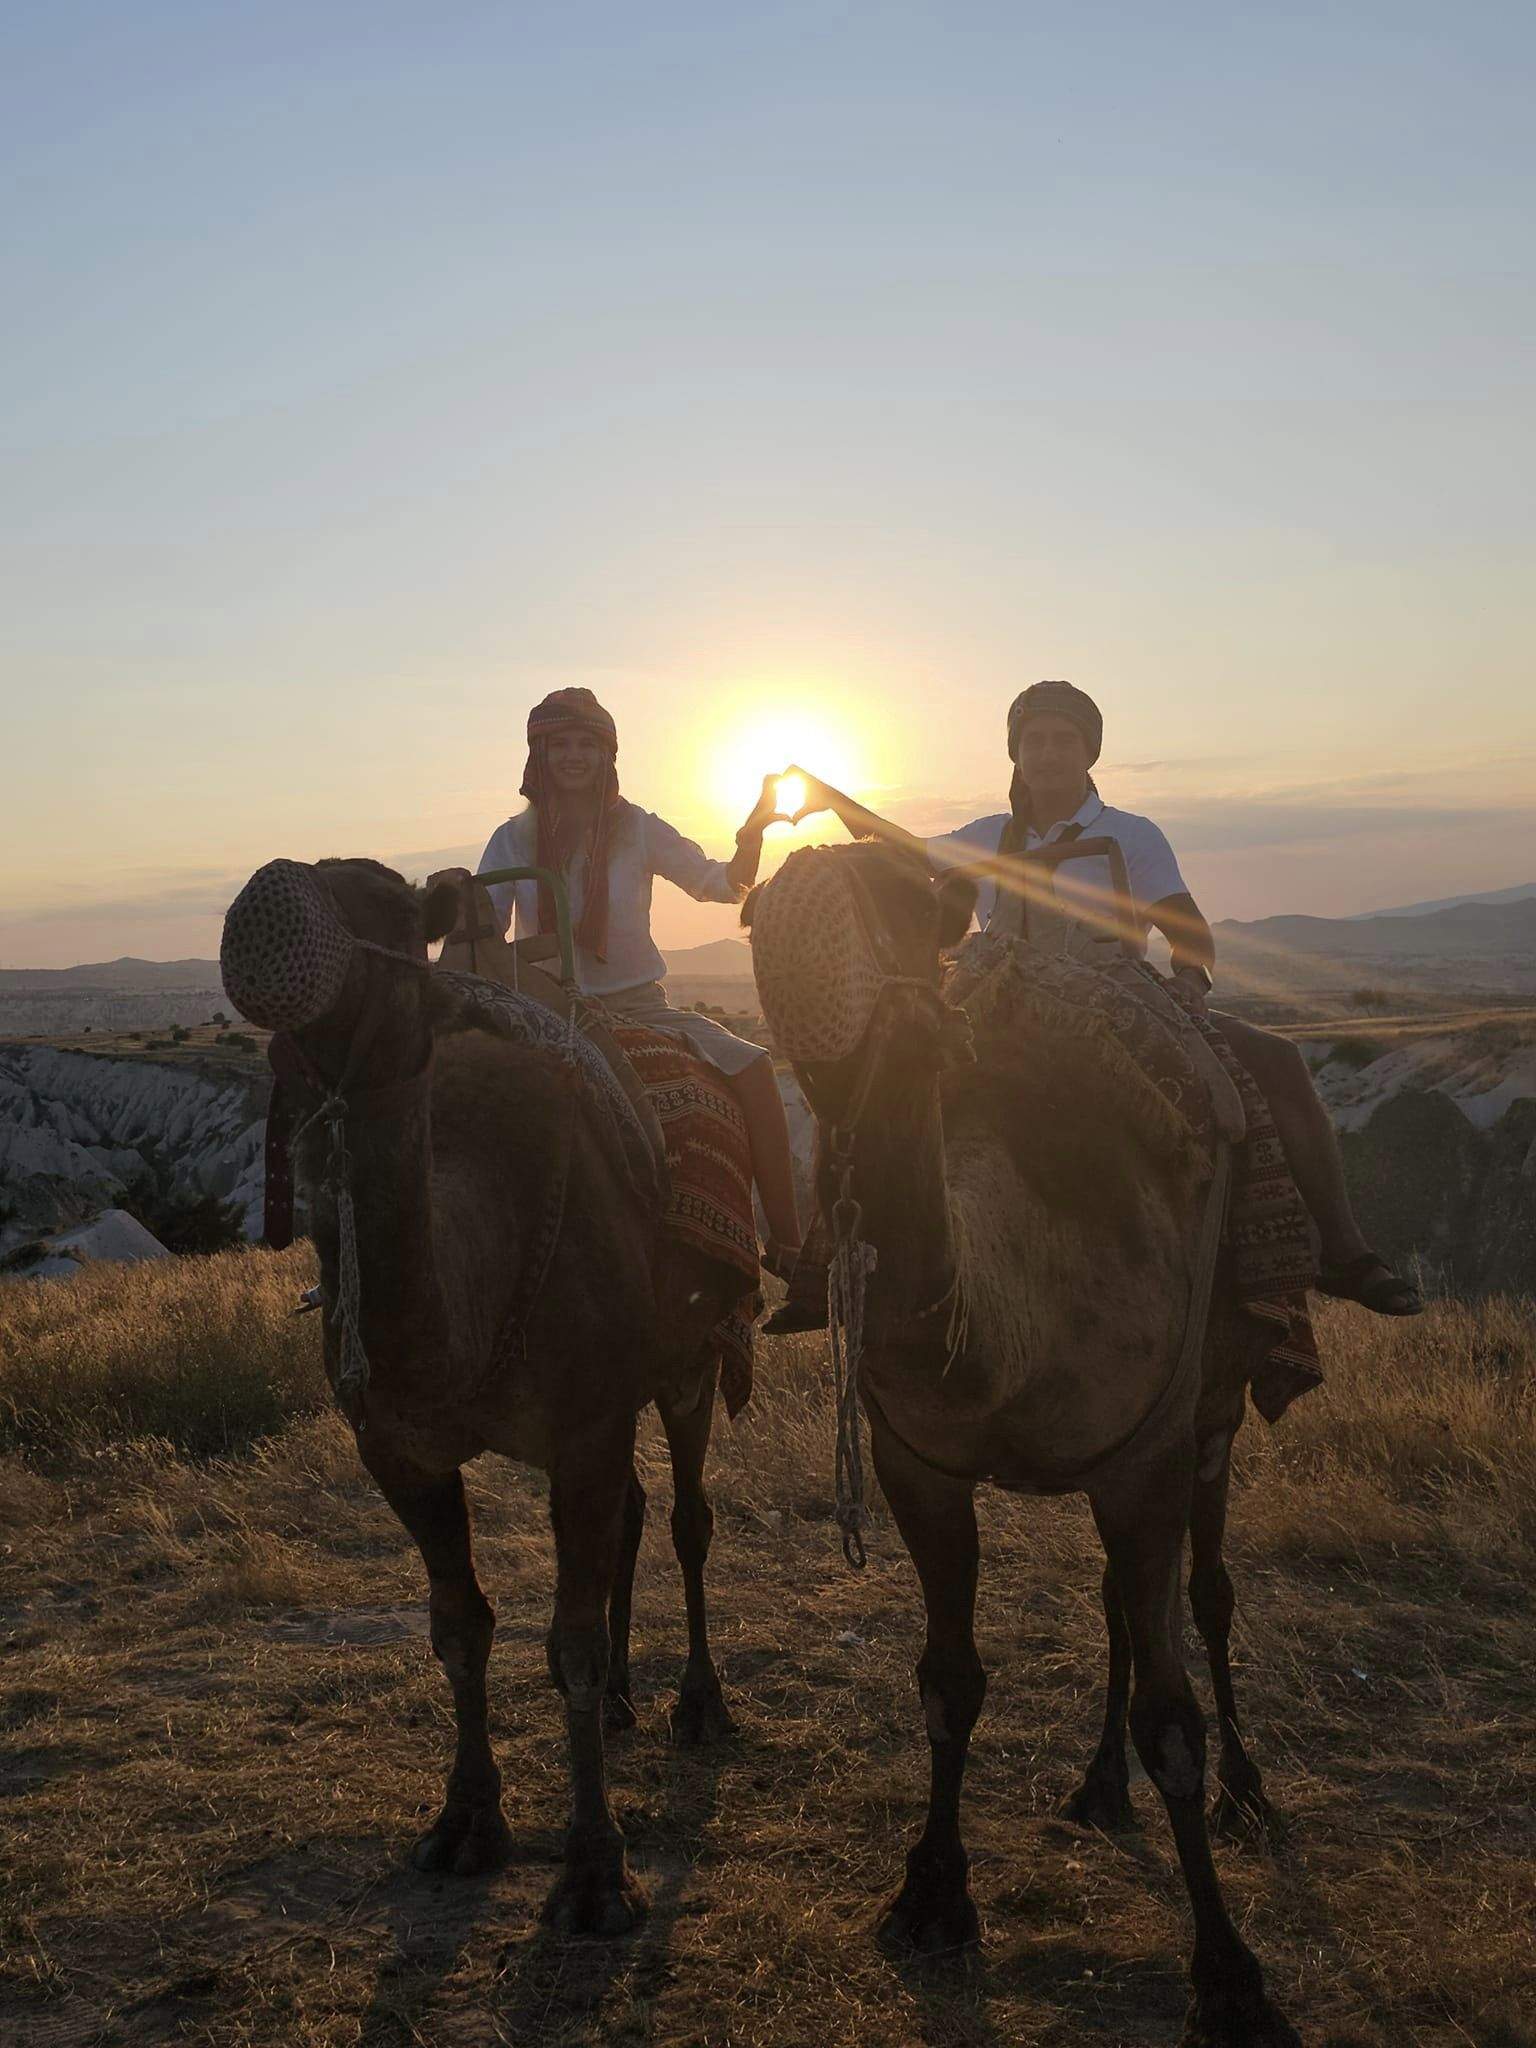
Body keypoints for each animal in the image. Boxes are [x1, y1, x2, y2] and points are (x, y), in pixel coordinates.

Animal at [225, 851, 749, 1933]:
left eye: (391, 911)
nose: (272, 903)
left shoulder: (586, 1424)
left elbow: (570, 1639)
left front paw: (595, 1874)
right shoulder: (397, 1446)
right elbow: (460, 1623)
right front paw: (465, 1822)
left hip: (689, 1362)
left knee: (688, 1517)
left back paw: (698, 1703)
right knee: (636, 1514)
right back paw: (629, 1700)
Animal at [745, 831, 1302, 2048]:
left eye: (918, 911)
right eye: (758, 926)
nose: (795, 900)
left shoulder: (1146, 1459)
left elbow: (1173, 1716)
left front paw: (1230, 1972)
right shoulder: (918, 1467)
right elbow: (948, 1680)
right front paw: (930, 1891)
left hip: (1214, 1413)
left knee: (1208, 1592)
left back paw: (1248, 1790)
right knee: (1120, 1604)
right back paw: (1096, 1786)